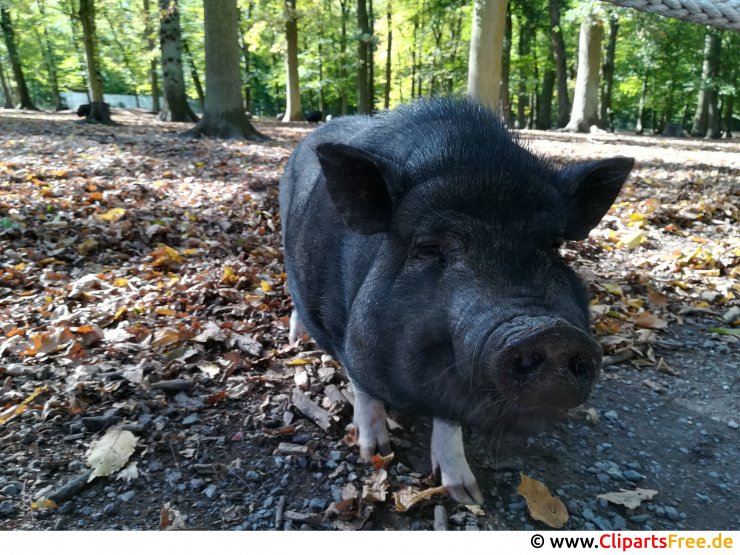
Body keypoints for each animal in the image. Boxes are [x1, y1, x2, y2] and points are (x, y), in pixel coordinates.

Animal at [279, 98, 633, 505]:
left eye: (555, 246)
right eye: (430, 246)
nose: (550, 333)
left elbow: (449, 420)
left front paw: (467, 495)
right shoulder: (345, 330)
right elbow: (364, 389)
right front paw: (374, 454)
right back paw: (295, 341)